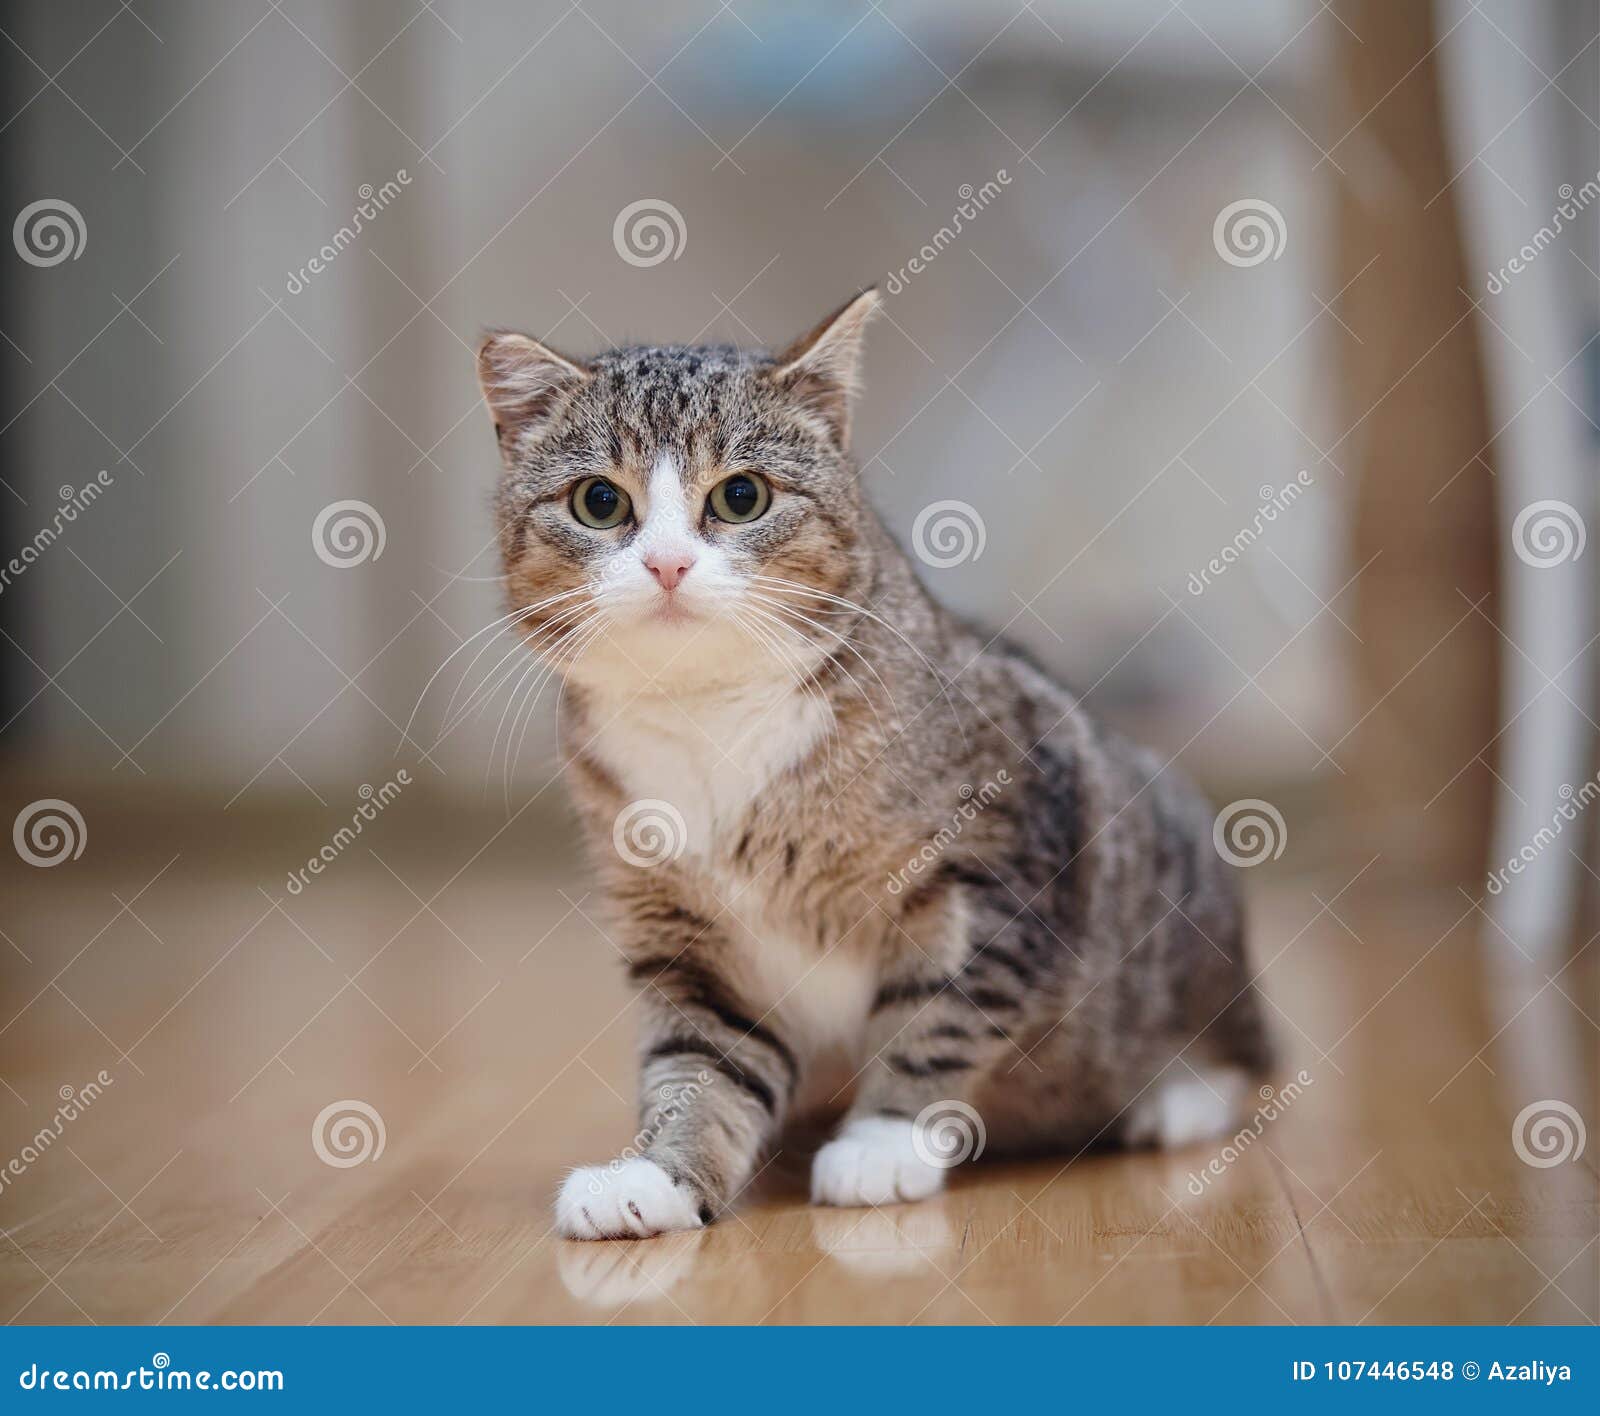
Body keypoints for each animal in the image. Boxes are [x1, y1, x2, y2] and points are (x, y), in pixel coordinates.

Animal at [473, 289, 1273, 1235]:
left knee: (1241, 1059)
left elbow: (942, 1015)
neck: (711, 715)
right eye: (599, 502)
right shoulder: (685, 941)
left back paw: (1173, 1100)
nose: (667, 563)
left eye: (740, 495)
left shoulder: (997, 860)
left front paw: (886, 1142)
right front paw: (655, 1177)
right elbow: (700, 1069)